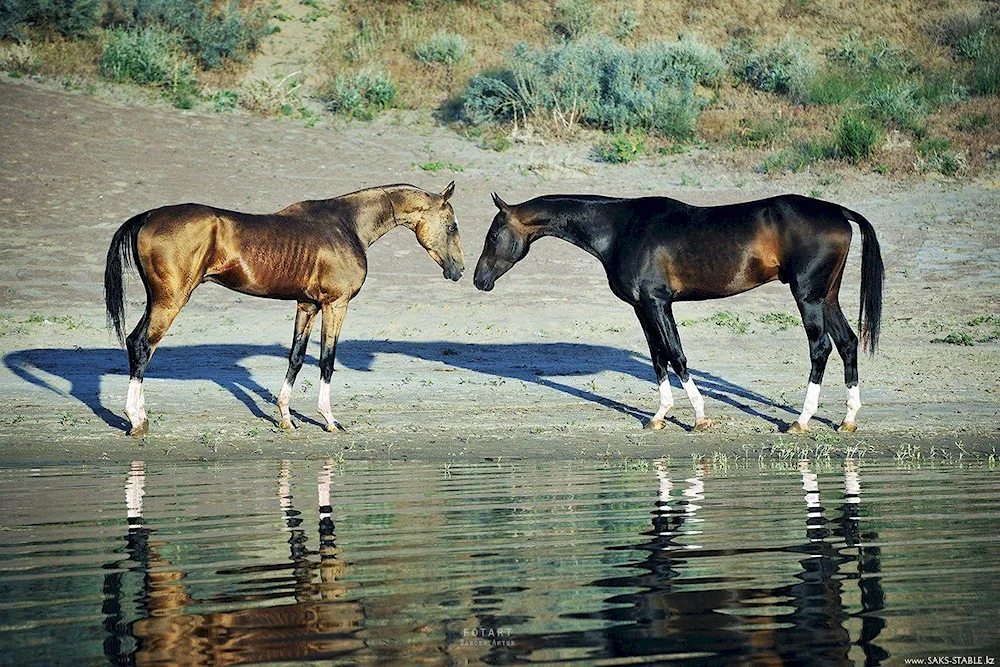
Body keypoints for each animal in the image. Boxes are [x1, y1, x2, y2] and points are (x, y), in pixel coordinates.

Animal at [105, 181, 464, 438]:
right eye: (451, 227)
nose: (459, 270)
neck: (347, 225)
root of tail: (148, 216)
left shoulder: (308, 305)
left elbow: (296, 358)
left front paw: (286, 418)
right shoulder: (335, 304)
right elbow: (327, 360)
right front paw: (329, 419)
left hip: (158, 299)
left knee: (136, 343)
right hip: (171, 300)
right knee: (142, 345)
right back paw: (135, 419)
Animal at [474, 193, 884, 434]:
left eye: (493, 236)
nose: (479, 280)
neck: (620, 229)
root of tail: (838, 211)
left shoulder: (658, 303)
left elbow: (676, 354)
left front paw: (700, 417)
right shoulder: (642, 308)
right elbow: (659, 358)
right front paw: (659, 416)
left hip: (808, 297)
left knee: (821, 348)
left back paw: (801, 421)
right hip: (827, 296)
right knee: (848, 343)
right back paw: (848, 420)